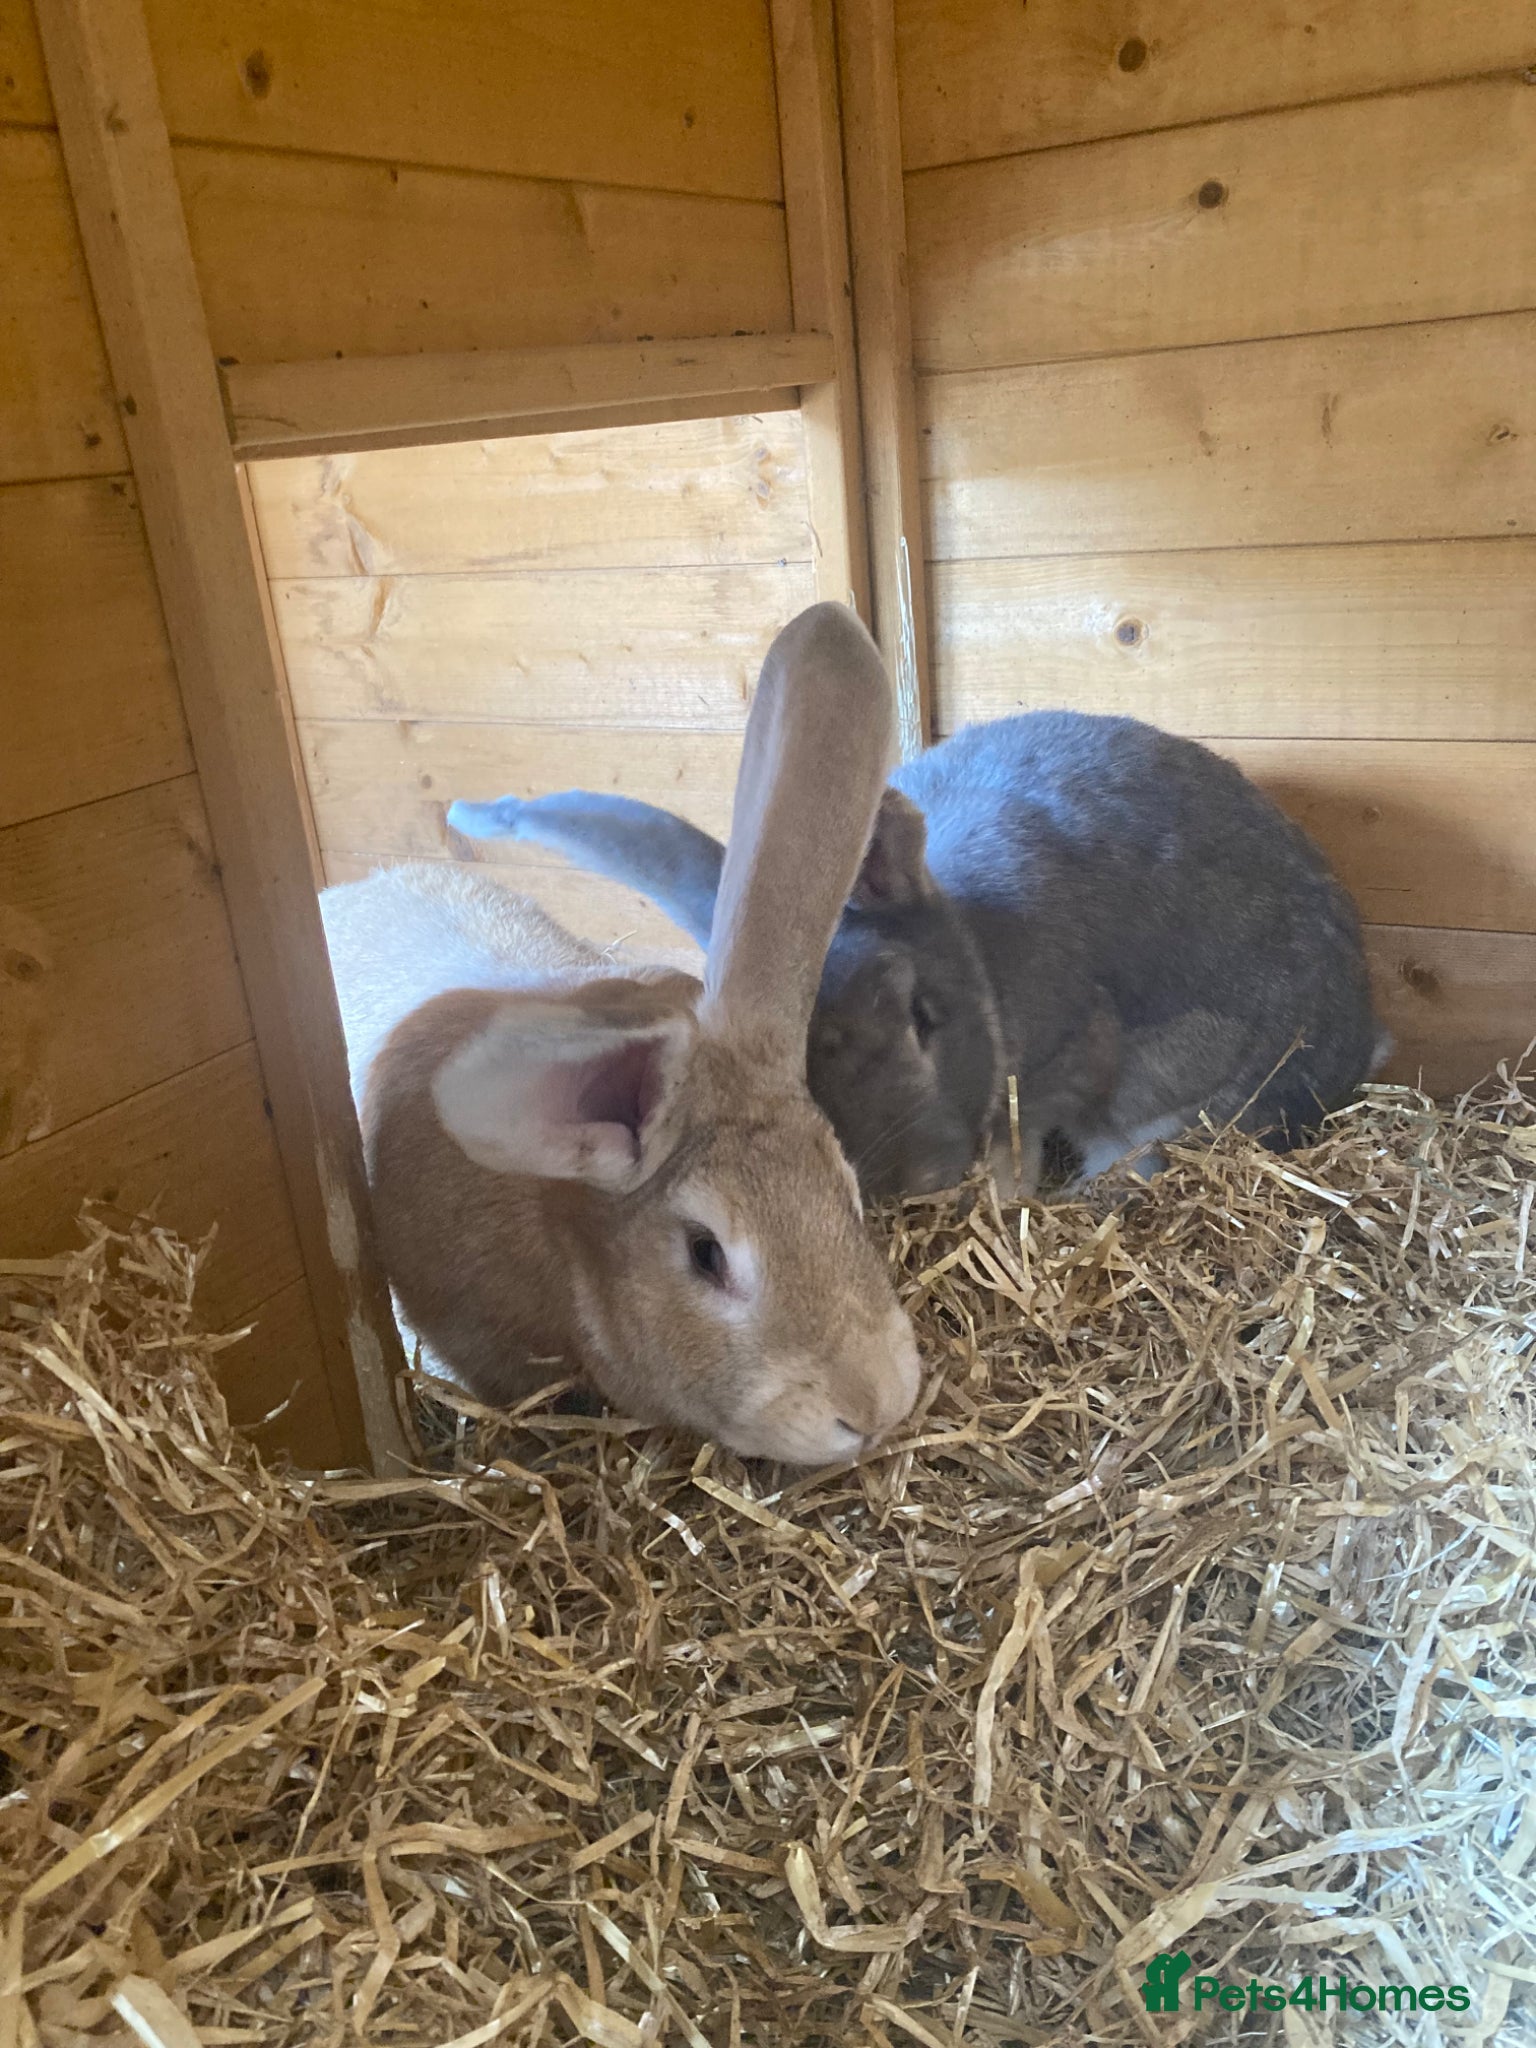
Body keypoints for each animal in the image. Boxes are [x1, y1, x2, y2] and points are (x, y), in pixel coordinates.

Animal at [448, 709, 1388, 1202]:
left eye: (922, 1015)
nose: (910, 1178)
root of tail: (1361, 1040)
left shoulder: (1056, 1068)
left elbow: (1020, 1144)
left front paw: (1009, 1205)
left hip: (1187, 1102)